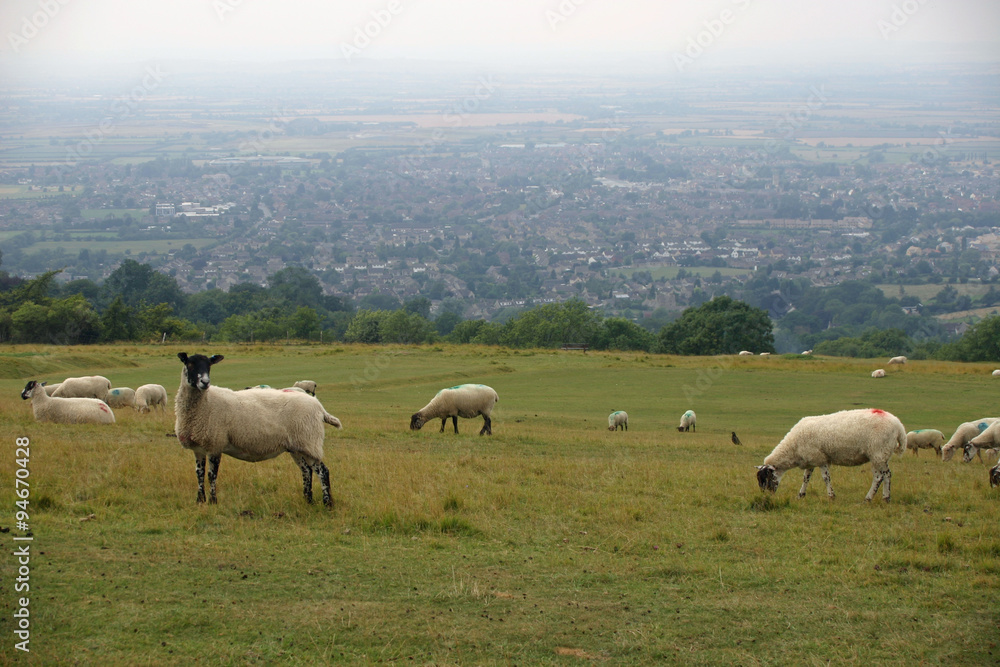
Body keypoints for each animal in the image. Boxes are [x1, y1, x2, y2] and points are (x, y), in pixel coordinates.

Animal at [174, 353, 343, 507]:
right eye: (190, 364)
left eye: (209, 365)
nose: (205, 382)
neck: (206, 402)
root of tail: (319, 407)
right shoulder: (199, 448)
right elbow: (199, 474)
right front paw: (200, 500)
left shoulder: (215, 444)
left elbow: (211, 475)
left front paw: (213, 501)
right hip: (298, 446)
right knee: (307, 470)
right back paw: (308, 500)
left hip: (310, 441)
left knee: (323, 471)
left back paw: (327, 503)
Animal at [756, 408, 906, 502]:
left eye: (766, 479)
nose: (766, 497)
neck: (793, 447)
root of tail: (899, 426)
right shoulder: (811, 459)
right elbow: (806, 478)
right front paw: (800, 495)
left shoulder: (820, 458)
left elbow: (826, 478)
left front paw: (831, 496)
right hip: (879, 454)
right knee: (885, 475)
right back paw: (885, 498)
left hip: (878, 452)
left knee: (880, 476)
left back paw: (868, 499)